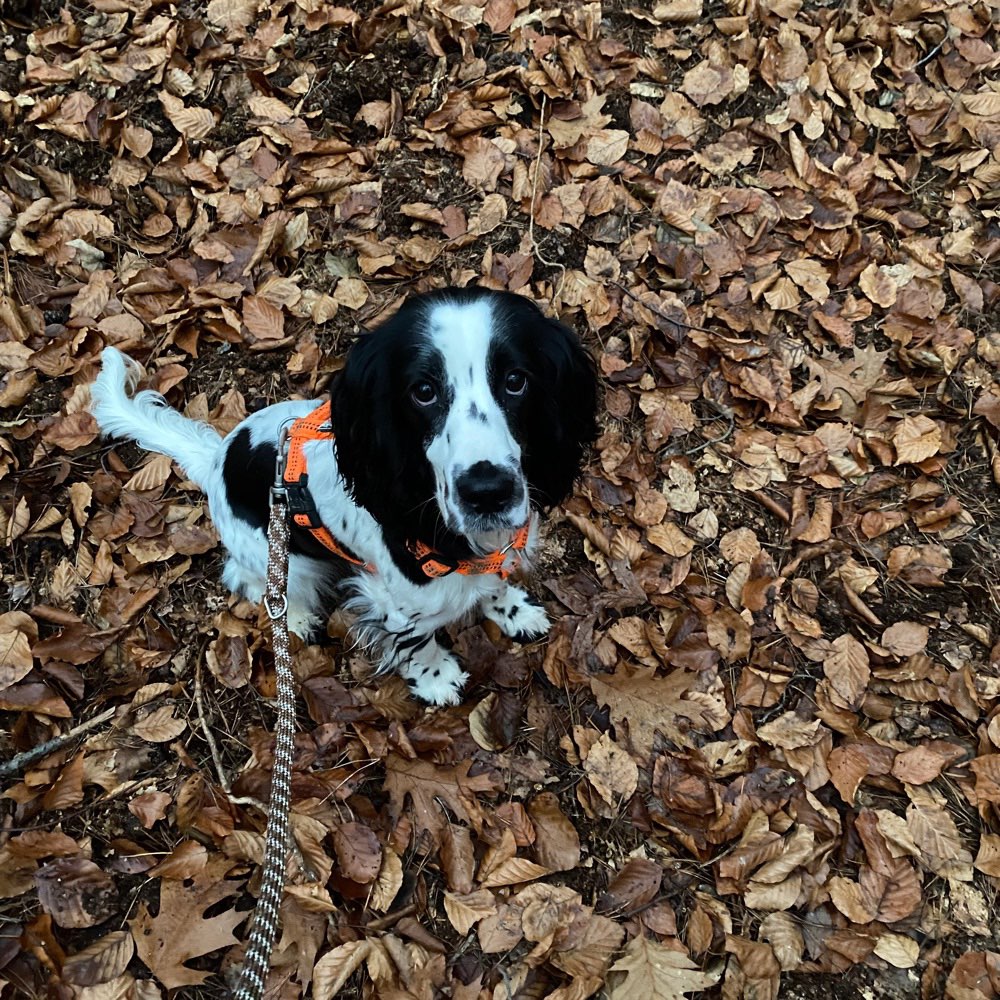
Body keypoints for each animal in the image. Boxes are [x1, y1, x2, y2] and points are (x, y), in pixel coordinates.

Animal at [90, 286, 596, 704]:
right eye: (424, 391)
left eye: (516, 381)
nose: (487, 493)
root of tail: (216, 458)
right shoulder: (394, 598)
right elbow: (416, 642)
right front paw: (436, 679)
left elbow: (493, 583)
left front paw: (513, 612)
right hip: (282, 556)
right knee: (252, 580)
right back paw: (294, 618)